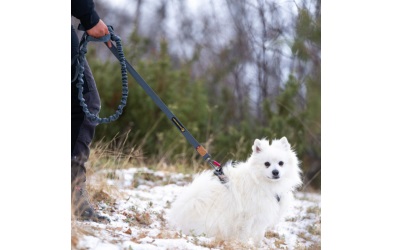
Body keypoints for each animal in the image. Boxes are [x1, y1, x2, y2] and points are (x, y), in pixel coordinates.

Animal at [167, 137, 302, 244]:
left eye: (281, 163)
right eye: (267, 164)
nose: (275, 172)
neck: (263, 183)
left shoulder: (262, 215)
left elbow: (259, 236)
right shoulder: (247, 216)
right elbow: (244, 234)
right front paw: (243, 245)